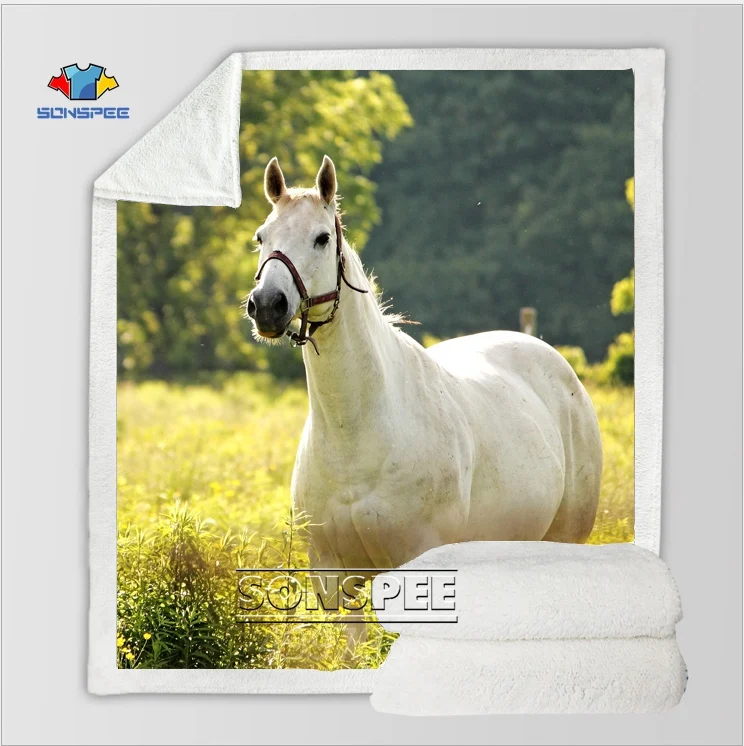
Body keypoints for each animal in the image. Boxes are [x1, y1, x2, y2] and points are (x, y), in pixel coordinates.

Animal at [246, 155, 603, 648]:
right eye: (262, 237)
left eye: (321, 238)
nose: (267, 305)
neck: (359, 434)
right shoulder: (334, 580)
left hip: (563, 540)